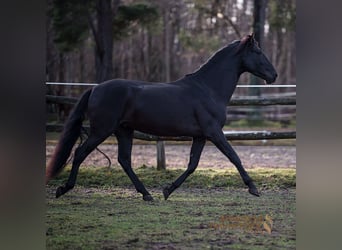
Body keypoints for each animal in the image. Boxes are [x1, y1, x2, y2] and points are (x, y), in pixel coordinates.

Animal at [46, 34, 278, 201]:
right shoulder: (214, 132)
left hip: (123, 130)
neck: (207, 89)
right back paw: (63, 189)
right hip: (102, 130)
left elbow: (192, 164)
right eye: (258, 51)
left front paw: (168, 190)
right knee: (80, 153)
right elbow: (234, 156)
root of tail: (95, 89)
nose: (274, 75)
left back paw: (147, 194)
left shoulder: (201, 136)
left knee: (124, 160)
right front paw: (253, 188)